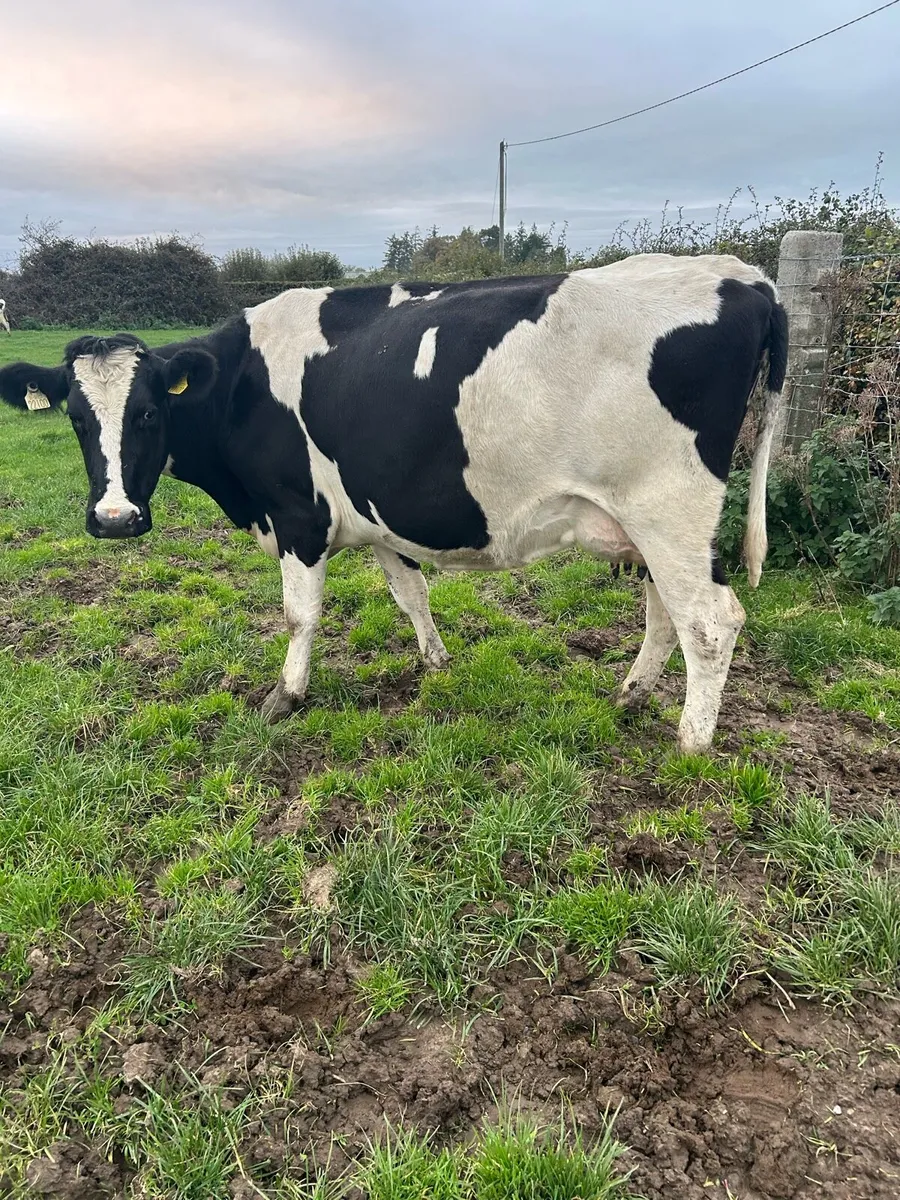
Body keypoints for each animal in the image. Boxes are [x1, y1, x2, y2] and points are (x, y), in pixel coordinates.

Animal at [0, 254, 787, 752]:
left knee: (710, 622)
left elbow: (300, 614)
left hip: (669, 508)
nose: (114, 520)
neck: (240, 385)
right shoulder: (374, 516)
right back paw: (631, 693)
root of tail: (743, 275)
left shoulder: (300, 515)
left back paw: (691, 740)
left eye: (148, 415)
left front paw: (286, 695)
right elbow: (411, 594)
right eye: (77, 417)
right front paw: (436, 663)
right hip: (645, 523)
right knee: (665, 612)